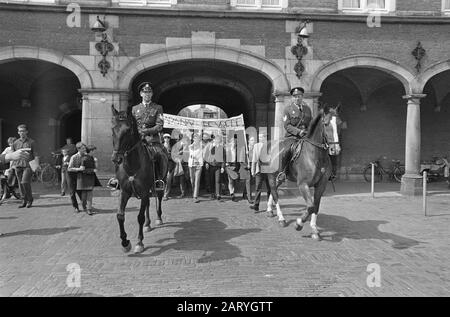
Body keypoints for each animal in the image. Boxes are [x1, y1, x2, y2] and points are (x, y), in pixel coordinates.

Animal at [110, 105, 165, 253]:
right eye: (113, 129)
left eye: (128, 130)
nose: (116, 159)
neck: (132, 166)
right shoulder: (124, 191)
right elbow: (120, 215)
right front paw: (125, 243)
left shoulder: (144, 192)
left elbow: (139, 216)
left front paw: (139, 242)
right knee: (148, 205)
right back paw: (147, 224)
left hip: (158, 184)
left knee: (159, 198)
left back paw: (158, 218)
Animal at [264, 104, 342, 239]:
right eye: (326, 124)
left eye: (339, 123)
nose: (335, 149)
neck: (315, 155)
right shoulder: (303, 184)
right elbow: (310, 206)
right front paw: (299, 224)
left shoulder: (321, 185)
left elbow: (316, 206)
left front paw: (314, 229)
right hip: (272, 176)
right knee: (275, 193)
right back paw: (281, 219)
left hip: (280, 178)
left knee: (273, 192)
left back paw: (270, 210)